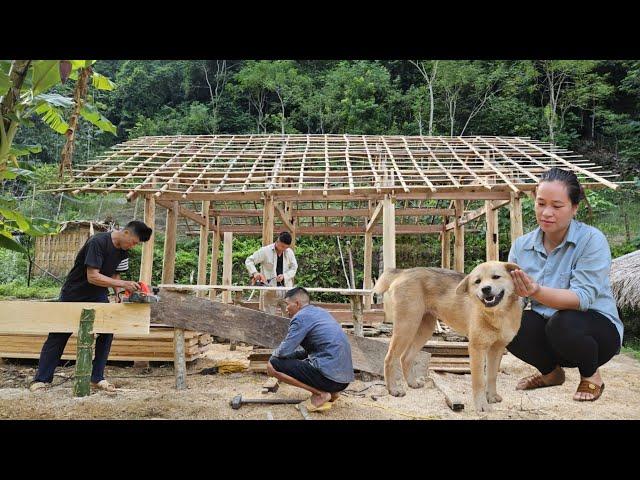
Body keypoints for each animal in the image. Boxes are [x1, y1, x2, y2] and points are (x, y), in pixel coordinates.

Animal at [372, 262, 524, 412]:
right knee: (390, 358)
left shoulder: (497, 349)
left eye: (496, 277)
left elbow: (492, 376)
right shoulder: (477, 348)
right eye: (477, 281)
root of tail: (403, 272)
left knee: (405, 357)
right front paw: (481, 405)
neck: (498, 314)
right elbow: (479, 381)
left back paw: (412, 383)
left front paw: (491, 397)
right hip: (407, 326)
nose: (485, 289)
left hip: (424, 329)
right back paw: (393, 389)